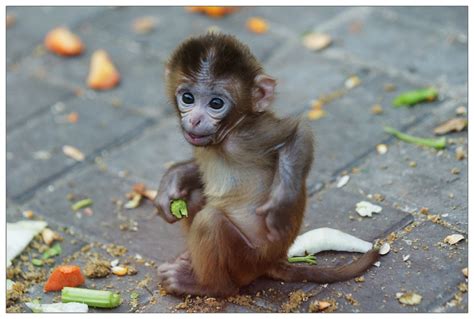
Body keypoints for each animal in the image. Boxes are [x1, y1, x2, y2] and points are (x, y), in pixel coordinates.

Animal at [157, 33, 380, 298]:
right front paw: (173, 179)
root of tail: (273, 261)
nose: (195, 119)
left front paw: (280, 204)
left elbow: (298, 132)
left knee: (210, 222)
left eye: (216, 103)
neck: (227, 134)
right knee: (194, 196)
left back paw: (207, 285)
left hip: (246, 261)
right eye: (188, 98)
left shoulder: (250, 135)